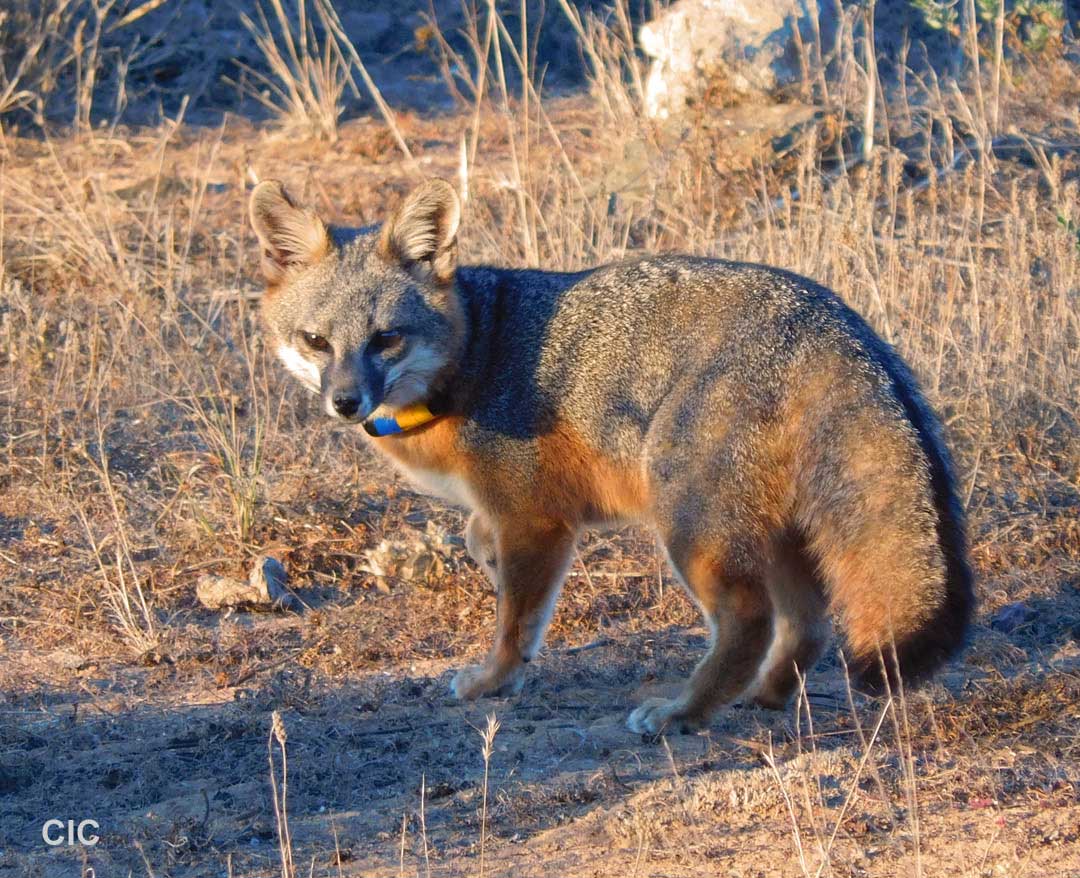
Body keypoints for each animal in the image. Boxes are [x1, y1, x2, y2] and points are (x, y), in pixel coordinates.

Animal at [248, 176, 974, 734]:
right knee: (808, 624)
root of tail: (833, 318)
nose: (345, 402)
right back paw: (763, 696)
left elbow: (516, 619)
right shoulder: (519, 513)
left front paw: (495, 679)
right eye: (315, 341)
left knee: (751, 620)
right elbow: (480, 543)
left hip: (690, 525)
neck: (478, 349)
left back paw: (683, 712)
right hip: (777, 532)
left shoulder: (534, 518)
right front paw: (490, 573)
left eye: (386, 339)